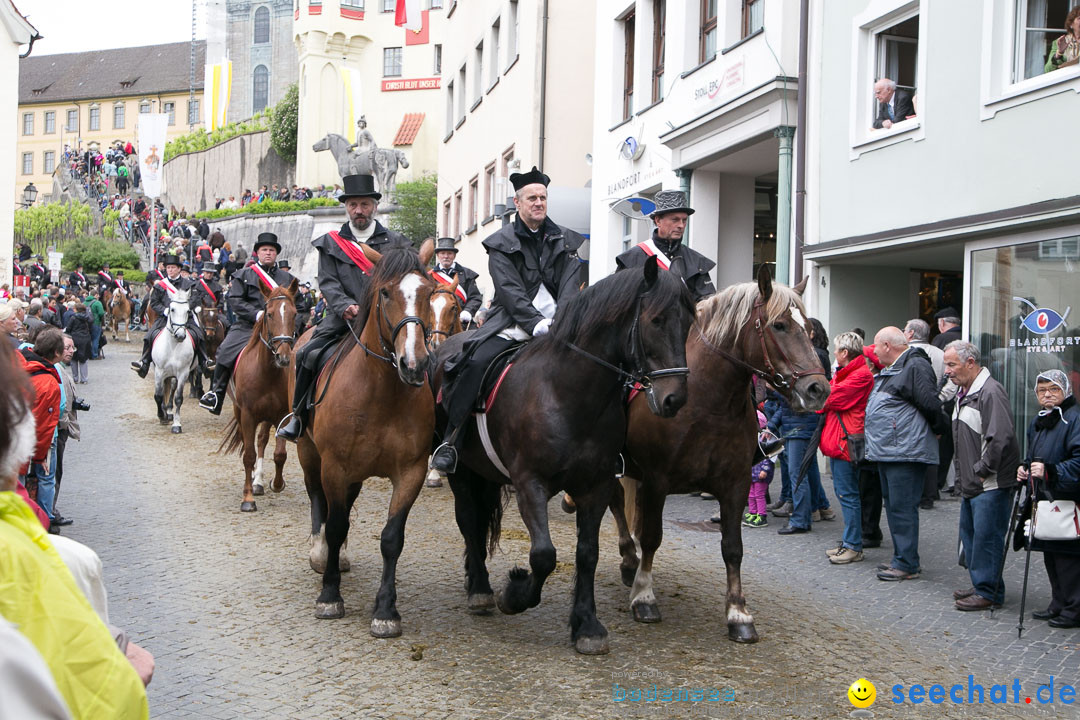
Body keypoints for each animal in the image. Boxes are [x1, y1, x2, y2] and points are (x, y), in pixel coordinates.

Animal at [152, 289, 198, 436]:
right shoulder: (159, 372)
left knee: (172, 389)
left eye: (188, 311)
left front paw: (176, 424)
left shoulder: (183, 373)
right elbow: (158, 395)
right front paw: (162, 416)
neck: (173, 346)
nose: (180, 336)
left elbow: (178, 398)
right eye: (172, 309)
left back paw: (169, 411)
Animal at [218, 280, 298, 511]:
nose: (283, 357)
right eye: (269, 314)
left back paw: (260, 481)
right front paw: (248, 499)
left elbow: (279, 454)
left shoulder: (283, 415)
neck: (267, 371)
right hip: (240, 412)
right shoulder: (247, 415)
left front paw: (277, 483)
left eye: (294, 314)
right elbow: (248, 455)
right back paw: (255, 481)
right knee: (251, 444)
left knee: (262, 440)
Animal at [295, 240, 438, 634]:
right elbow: (335, 523)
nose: (414, 364)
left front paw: (386, 610)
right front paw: (329, 596)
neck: (382, 392)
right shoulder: (334, 466)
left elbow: (391, 538)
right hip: (309, 453)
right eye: (386, 292)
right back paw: (320, 554)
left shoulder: (411, 472)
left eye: (429, 291)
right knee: (318, 501)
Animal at [425, 257, 695, 651]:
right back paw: (480, 590)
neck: (568, 394)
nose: (674, 399)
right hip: (461, 471)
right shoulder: (530, 484)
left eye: (689, 322)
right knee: (468, 520)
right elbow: (543, 555)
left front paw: (587, 625)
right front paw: (514, 595)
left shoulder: (596, 487)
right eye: (656, 320)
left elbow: (587, 554)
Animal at [613, 268, 829, 643]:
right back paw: (630, 562)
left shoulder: (736, 484)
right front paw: (644, 597)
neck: (707, 403)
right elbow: (652, 537)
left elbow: (732, 548)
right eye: (779, 325)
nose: (818, 389)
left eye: (810, 330)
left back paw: (629, 563)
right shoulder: (657, 481)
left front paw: (738, 614)